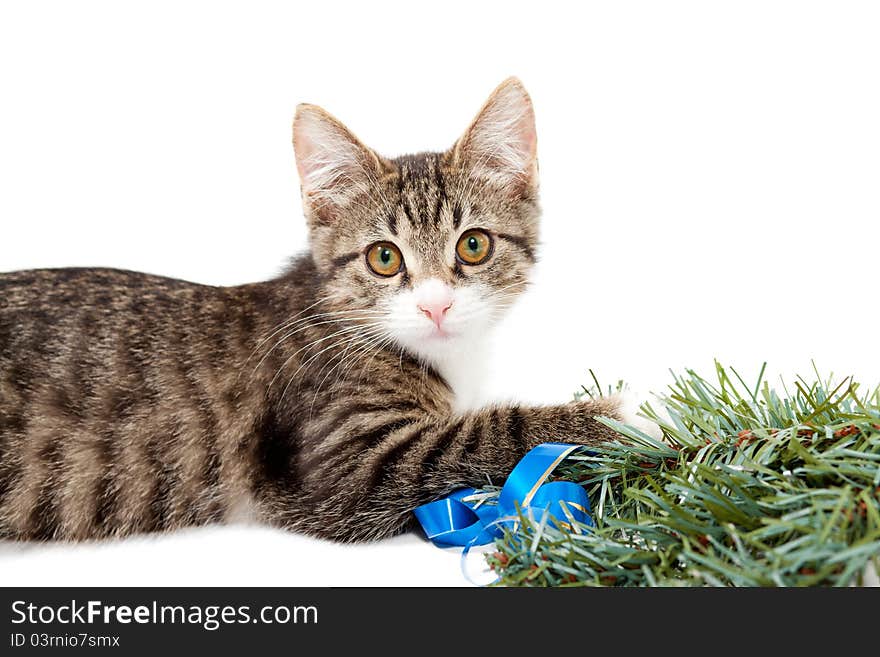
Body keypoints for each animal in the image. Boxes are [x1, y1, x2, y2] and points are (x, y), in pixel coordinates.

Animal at [0, 79, 632, 544]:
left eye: (473, 245)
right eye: (384, 258)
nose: (435, 305)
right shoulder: (341, 465)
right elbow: (492, 431)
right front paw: (625, 416)